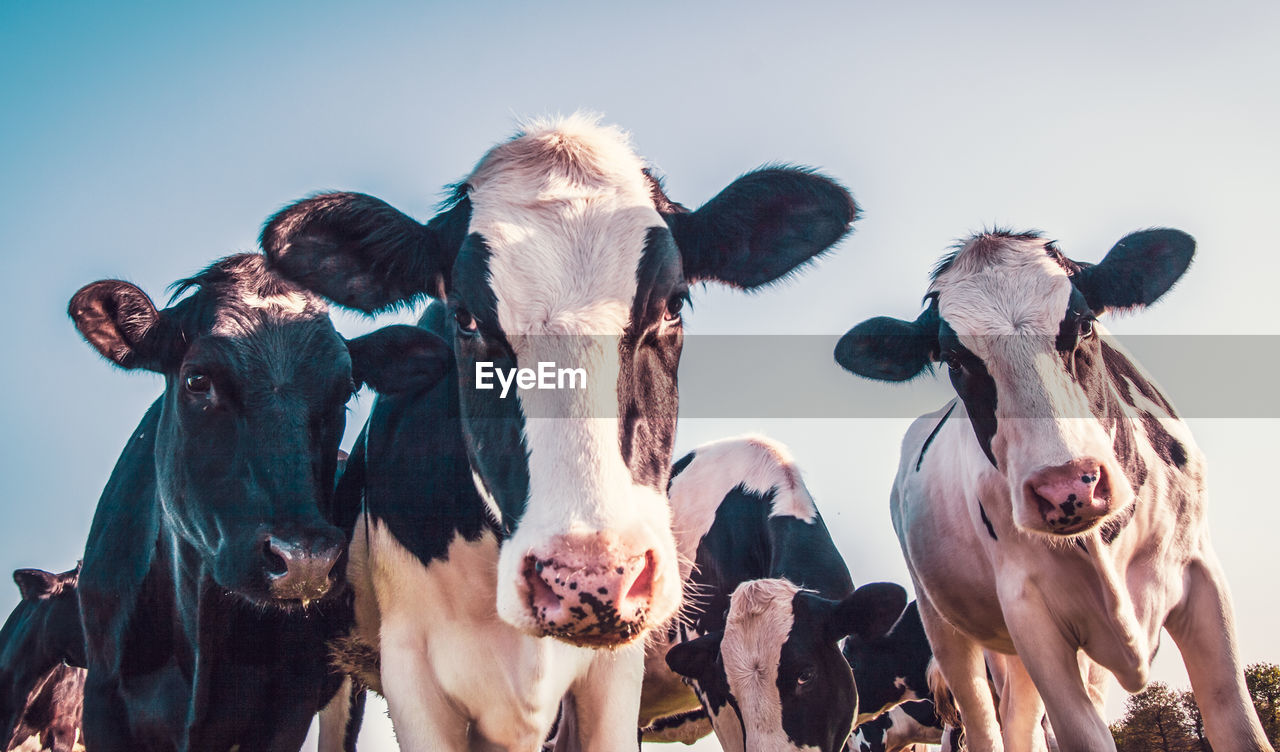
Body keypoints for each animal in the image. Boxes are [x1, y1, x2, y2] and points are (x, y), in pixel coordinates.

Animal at [829, 228, 1269, 752]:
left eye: (1083, 324)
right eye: (955, 360)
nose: (1066, 488)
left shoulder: (1201, 572)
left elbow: (1238, 726)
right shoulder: (1029, 612)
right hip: (948, 628)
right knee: (989, 724)